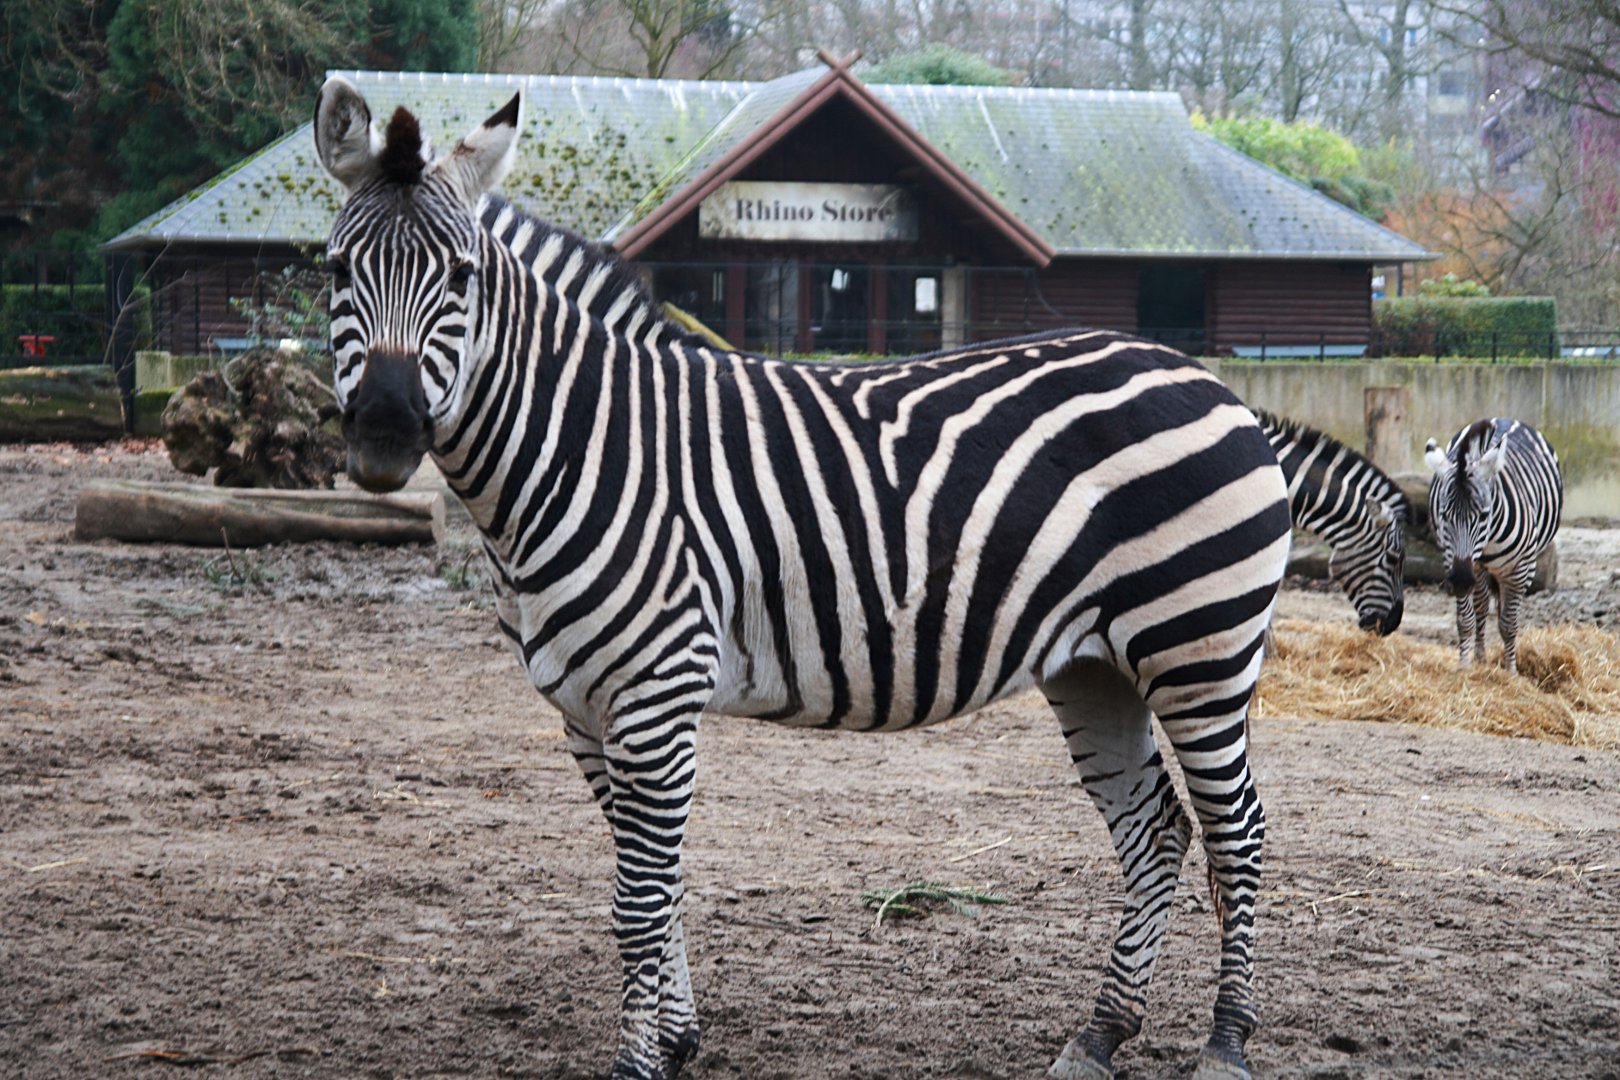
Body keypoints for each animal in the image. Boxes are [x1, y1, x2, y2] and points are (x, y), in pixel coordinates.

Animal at [314, 77, 1291, 1080]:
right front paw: (678, 1040)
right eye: (335, 270)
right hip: (1096, 666)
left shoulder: (654, 695)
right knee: (1154, 830)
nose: (385, 428)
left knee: (1238, 831)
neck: (585, 449)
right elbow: (655, 884)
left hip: (1199, 649)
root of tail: (1204, 377)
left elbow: (637, 904)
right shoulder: (584, 711)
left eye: (462, 277)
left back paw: (1225, 1043)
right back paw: (1099, 1035)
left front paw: (641, 1063)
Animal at [1425, 418, 1563, 674]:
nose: (1461, 581)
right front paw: (1465, 666)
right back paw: (1480, 656)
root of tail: (1504, 419)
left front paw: (1511, 672)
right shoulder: (1455, 561)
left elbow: (1508, 624)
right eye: (1444, 515)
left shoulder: (1518, 569)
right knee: (1481, 606)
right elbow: (1465, 620)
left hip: (1523, 566)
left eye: (1483, 515)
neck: (1487, 542)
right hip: (1479, 572)